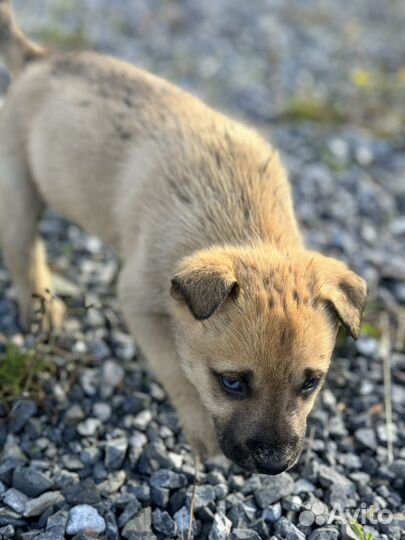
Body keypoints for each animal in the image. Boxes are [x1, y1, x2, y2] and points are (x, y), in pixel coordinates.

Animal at [0, 1, 366, 472]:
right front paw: (202, 437)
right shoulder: (141, 306)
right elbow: (179, 374)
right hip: (19, 186)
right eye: (231, 383)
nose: (274, 465)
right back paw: (42, 309)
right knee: (23, 249)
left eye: (310, 384)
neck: (243, 228)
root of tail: (38, 59)